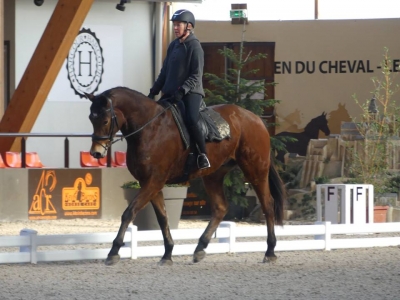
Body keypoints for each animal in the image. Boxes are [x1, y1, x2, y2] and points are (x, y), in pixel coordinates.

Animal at [87, 86, 286, 264]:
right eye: (91, 118)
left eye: (105, 121)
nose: (96, 153)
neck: (150, 128)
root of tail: (255, 118)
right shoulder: (150, 182)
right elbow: (162, 217)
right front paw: (167, 254)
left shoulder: (154, 181)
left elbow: (129, 212)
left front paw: (113, 252)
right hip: (213, 175)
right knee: (221, 207)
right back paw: (199, 249)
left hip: (255, 169)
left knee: (268, 205)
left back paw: (270, 252)